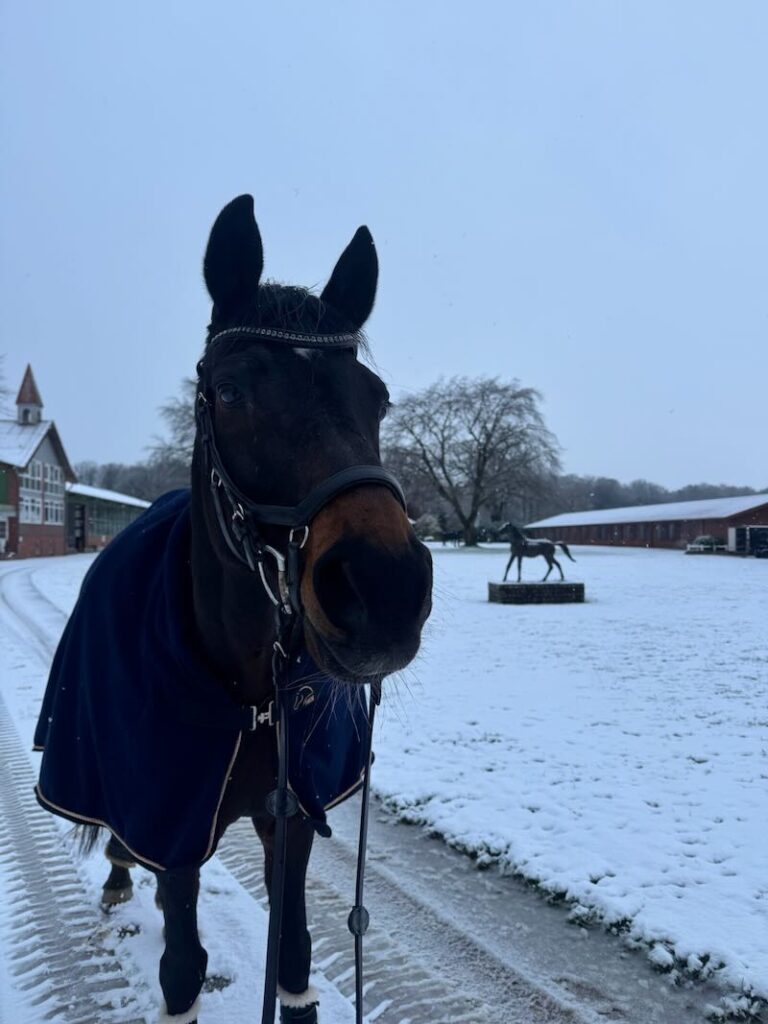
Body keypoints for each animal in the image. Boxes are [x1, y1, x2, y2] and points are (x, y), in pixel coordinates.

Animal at [33, 195, 433, 1024]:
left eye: (376, 398)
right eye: (231, 390)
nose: (384, 590)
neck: (253, 695)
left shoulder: (292, 817)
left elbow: (296, 957)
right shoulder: (171, 823)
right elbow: (182, 967)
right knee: (126, 853)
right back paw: (118, 877)